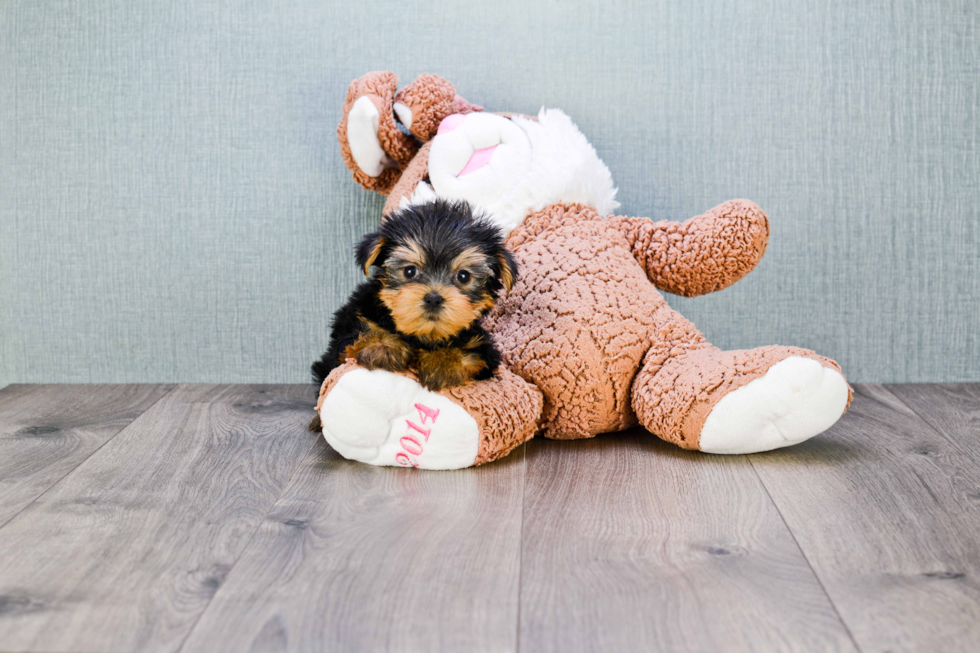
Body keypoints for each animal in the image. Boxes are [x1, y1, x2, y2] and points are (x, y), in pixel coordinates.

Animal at [310, 196, 516, 430]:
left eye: (463, 276)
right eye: (410, 271)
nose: (434, 298)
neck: (421, 335)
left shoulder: (485, 351)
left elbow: (471, 353)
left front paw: (442, 362)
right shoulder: (351, 320)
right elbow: (363, 330)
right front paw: (382, 345)